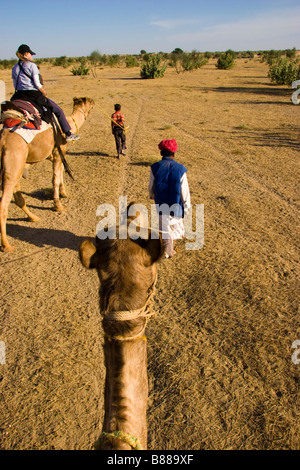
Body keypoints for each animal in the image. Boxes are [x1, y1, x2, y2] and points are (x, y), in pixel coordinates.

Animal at [0, 98, 94, 253]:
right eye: (90, 102)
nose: (93, 103)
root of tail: (2, 141)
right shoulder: (58, 152)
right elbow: (55, 178)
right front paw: (58, 206)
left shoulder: (55, 154)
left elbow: (60, 174)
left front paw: (63, 194)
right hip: (13, 163)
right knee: (4, 204)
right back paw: (7, 245)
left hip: (15, 167)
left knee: (18, 196)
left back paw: (33, 217)